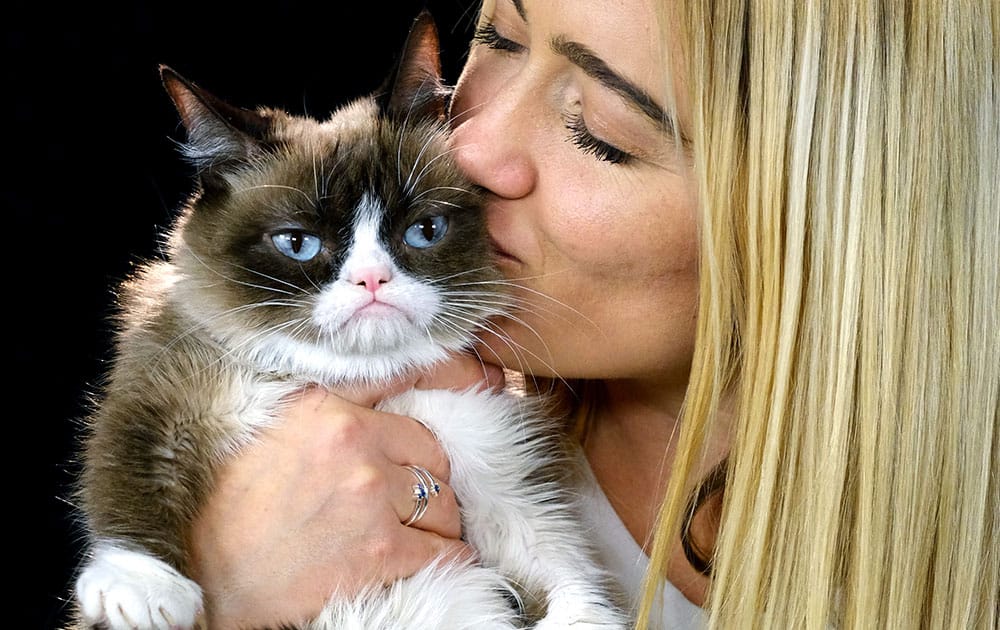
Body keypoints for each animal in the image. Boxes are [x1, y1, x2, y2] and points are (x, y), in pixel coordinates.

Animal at [70, 9, 628, 630]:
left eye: (424, 231)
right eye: (297, 243)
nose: (371, 280)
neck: (356, 379)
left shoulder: (508, 478)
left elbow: (566, 576)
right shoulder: (168, 389)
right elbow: (134, 460)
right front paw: (139, 586)